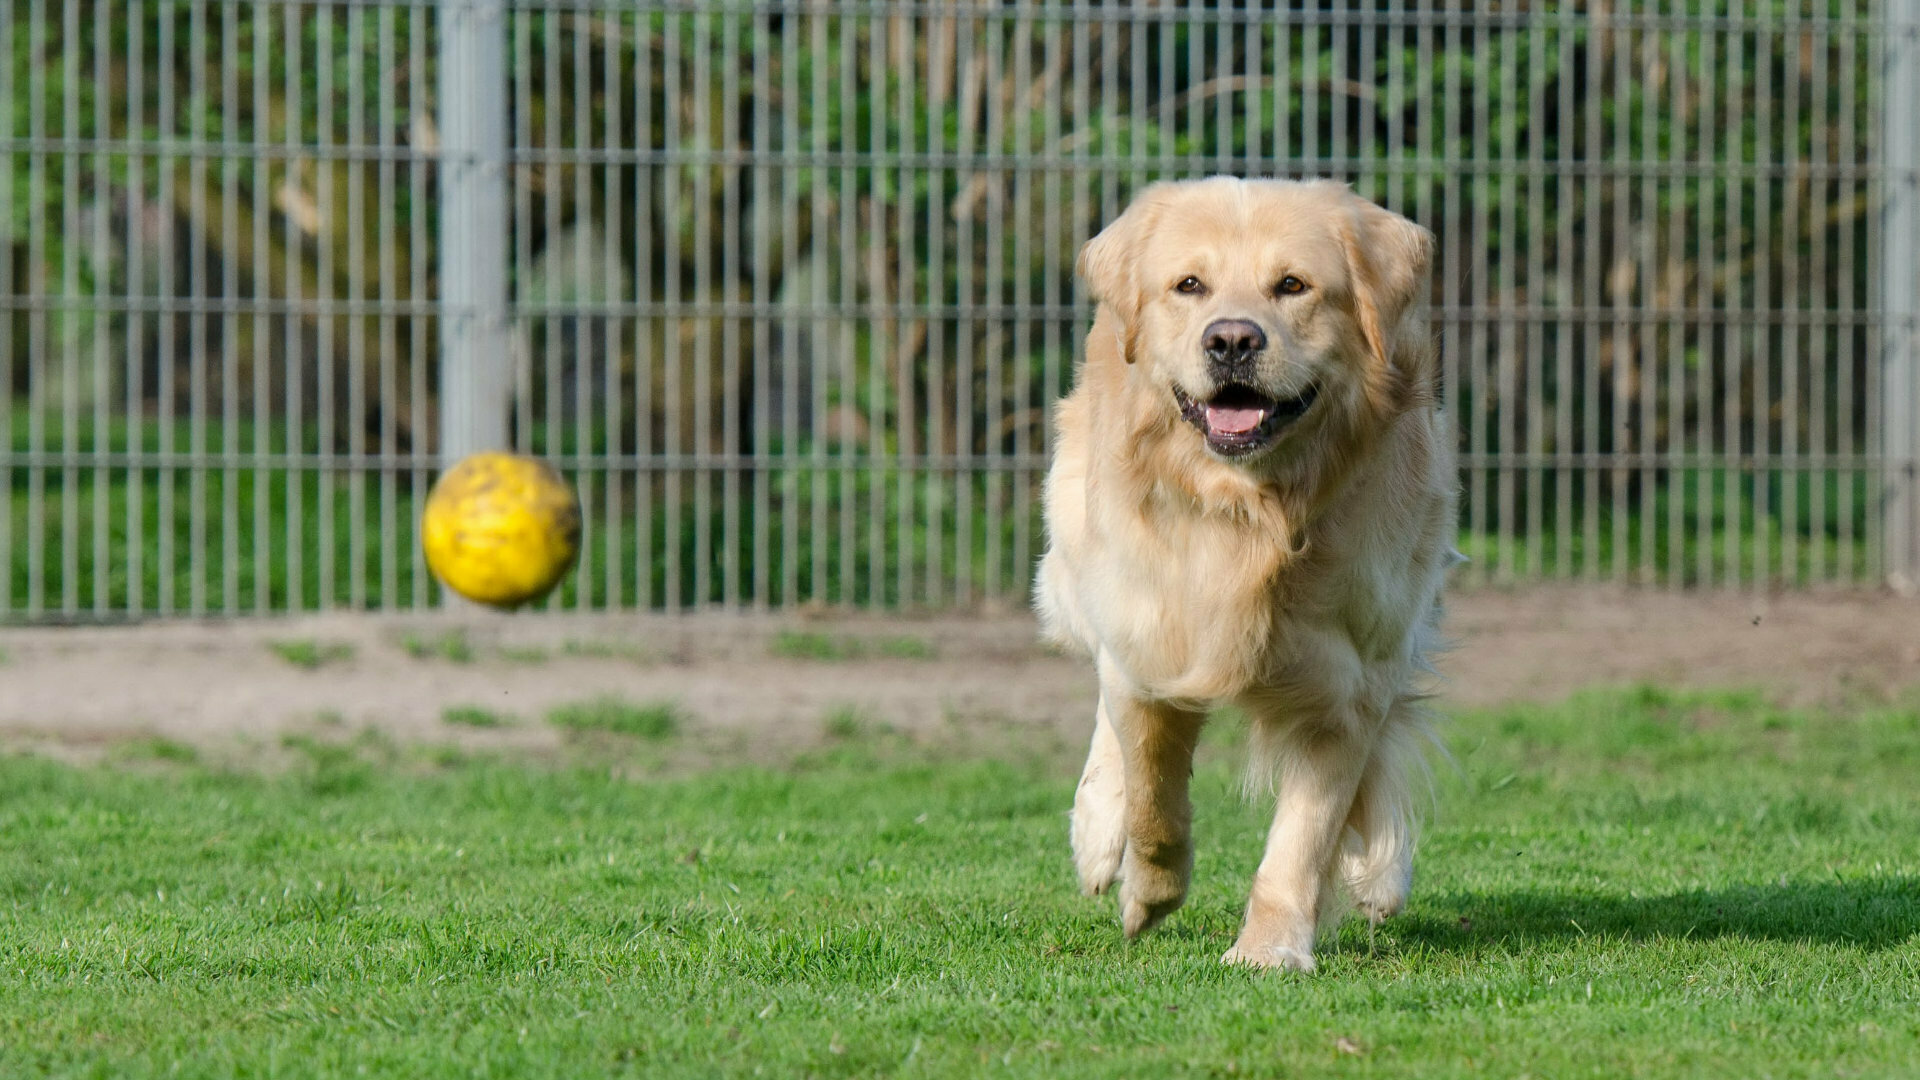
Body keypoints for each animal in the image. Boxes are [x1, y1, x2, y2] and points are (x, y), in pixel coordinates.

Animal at [1036, 174, 1451, 968]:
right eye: (1189, 286)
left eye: (1292, 286)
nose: (1232, 339)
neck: (1249, 515)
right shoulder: (1151, 643)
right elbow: (1154, 801)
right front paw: (1146, 895)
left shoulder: (1349, 682)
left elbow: (1305, 837)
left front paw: (1270, 950)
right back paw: (1097, 834)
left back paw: (1380, 871)